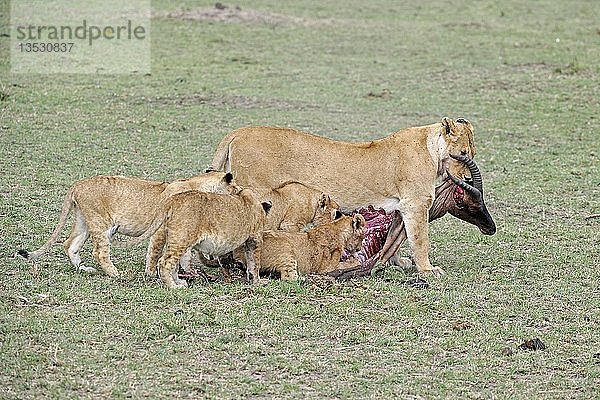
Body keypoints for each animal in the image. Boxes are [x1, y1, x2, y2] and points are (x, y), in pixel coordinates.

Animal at [18, 170, 234, 278]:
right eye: (235, 187)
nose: (240, 191)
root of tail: (78, 184)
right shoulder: (161, 230)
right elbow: (155, 252)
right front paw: (151, 273)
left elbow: (185, 255)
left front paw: (188, 272)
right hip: (101, 222)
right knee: (99, 252)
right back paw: (115, 274)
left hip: (84, 221)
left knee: (69, 244)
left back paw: (83, 269)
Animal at [211, 118, 478, 276]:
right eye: (463, 154)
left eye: (472, 154)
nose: (468, 179)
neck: (432, 149)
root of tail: (237, 132)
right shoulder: (415, 205)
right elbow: (420, 240)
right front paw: (428, 270)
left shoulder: (400, 206)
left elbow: (394, 237)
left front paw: (396, 262)